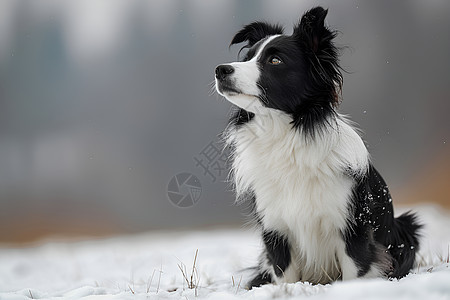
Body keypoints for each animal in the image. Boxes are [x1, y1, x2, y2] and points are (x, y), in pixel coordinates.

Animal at [214, 6, 422, 288]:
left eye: (275, 61)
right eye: (247, 58)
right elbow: (285, 277)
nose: (220, 70)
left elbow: (355, 272)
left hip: (407, 226)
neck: (285, 136)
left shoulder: (352, 227)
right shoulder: (276, 230)